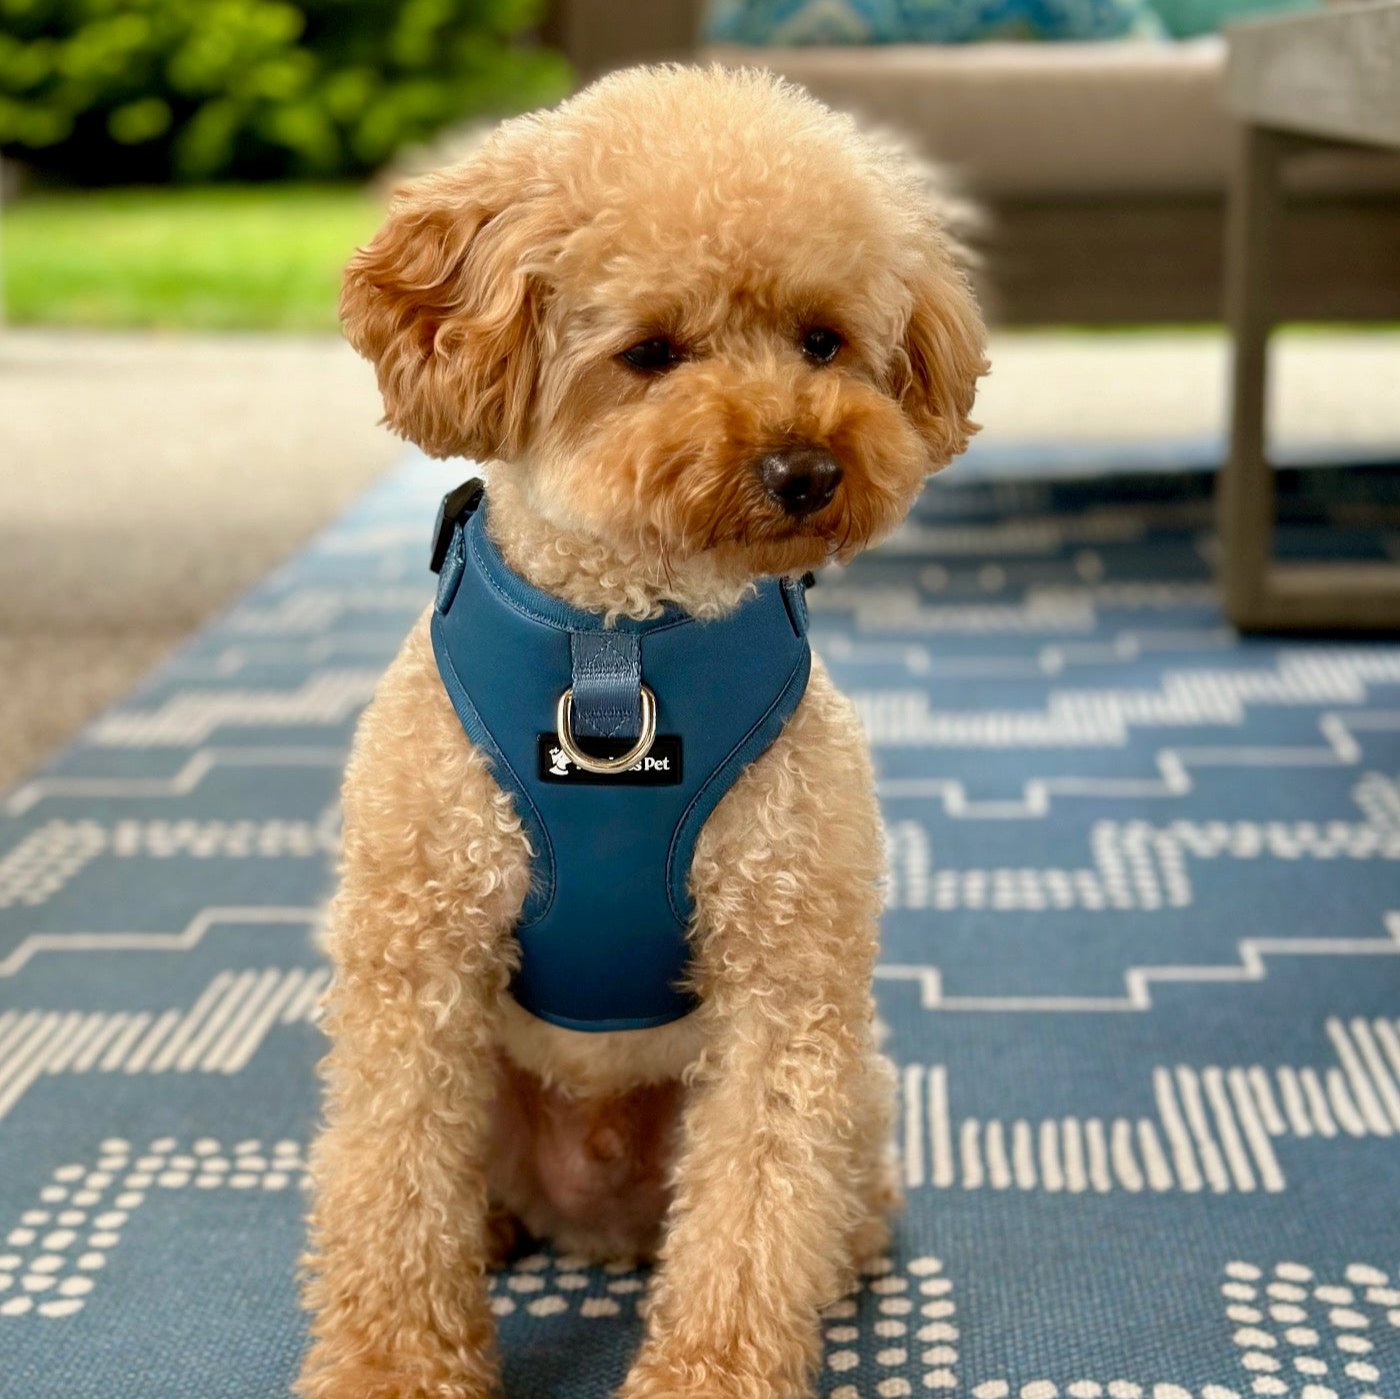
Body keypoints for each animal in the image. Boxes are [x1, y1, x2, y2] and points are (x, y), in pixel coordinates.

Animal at [302, 60, 991, 1394]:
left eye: (821, 339)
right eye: (650, 353)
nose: (802, 468)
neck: (619, 645)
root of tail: (596, 1216)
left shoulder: (783, 978)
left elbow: (752, 1212)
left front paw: (709, 1371)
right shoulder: (418, 958)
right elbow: (390, 1184)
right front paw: (393, 1366)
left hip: (850, 1094)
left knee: (811, 1206)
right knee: (459, 1182)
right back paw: (497, 1222)